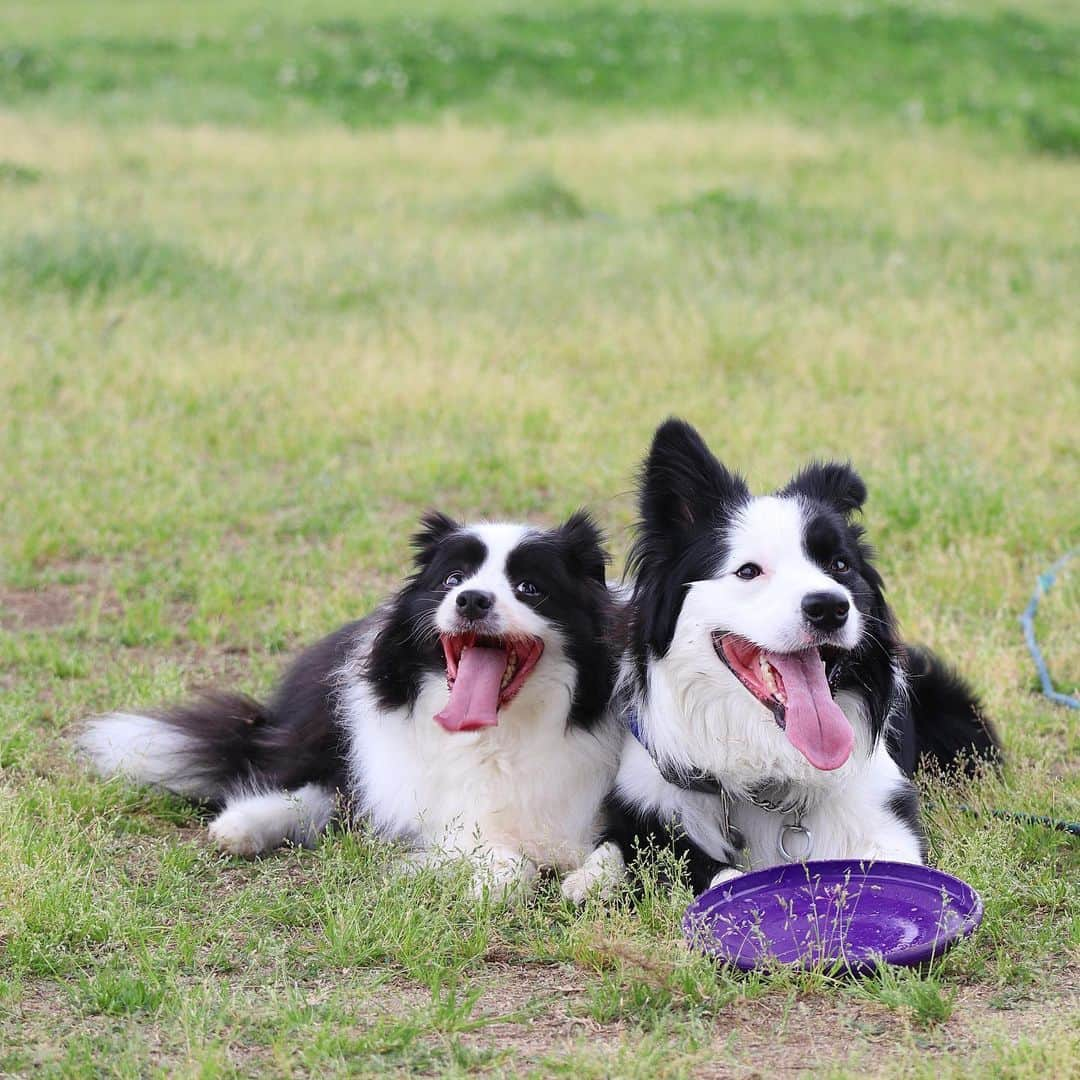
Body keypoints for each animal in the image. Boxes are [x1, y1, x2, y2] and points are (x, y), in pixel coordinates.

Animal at [79, 509, 622, 898]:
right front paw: (480, 881)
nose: (471, 600)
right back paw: (240, 826)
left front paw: (584, 880)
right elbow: (504, 859)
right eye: (452, 579)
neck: (500, 733)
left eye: (530, 588)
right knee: (319, 784)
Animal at [570, 416, 997, 898]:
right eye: (748, 571)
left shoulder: (885, 818)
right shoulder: (648, 803)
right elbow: (663, 855)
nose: (830, 607)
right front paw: (588, 878)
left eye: (840, 565)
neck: (772, 771)